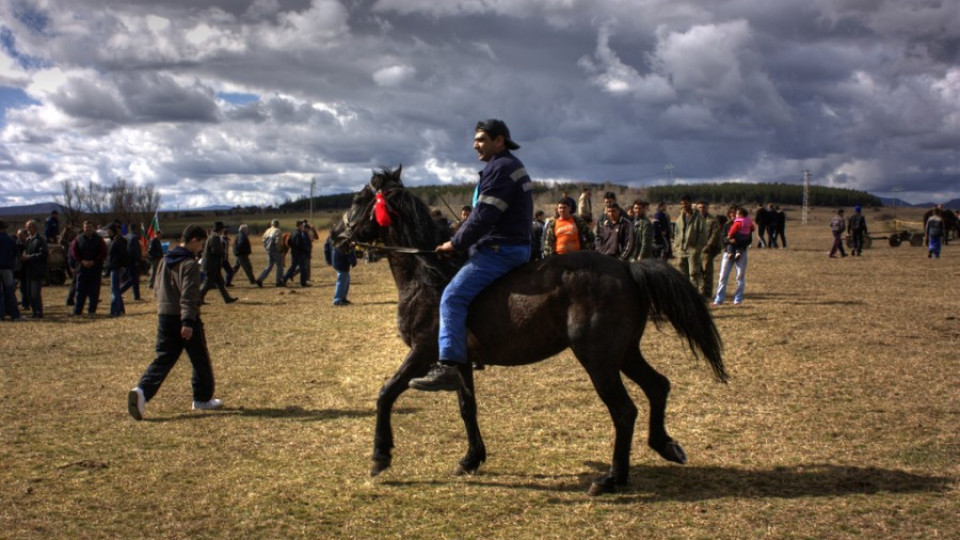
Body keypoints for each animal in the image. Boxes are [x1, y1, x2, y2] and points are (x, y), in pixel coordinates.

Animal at [330, 167, 728, 496]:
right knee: (658, 386)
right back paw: (665, 446)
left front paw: (380, 456)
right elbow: (467, 407)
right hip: (625, 353)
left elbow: (386, 393)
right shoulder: (461, 361)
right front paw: (471, 458)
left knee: (624, 411)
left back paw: (612, 478)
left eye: (357, 199)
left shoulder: (423, 351)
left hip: (599, 360)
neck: (427, 275)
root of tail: (627, 268)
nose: (335, 237)